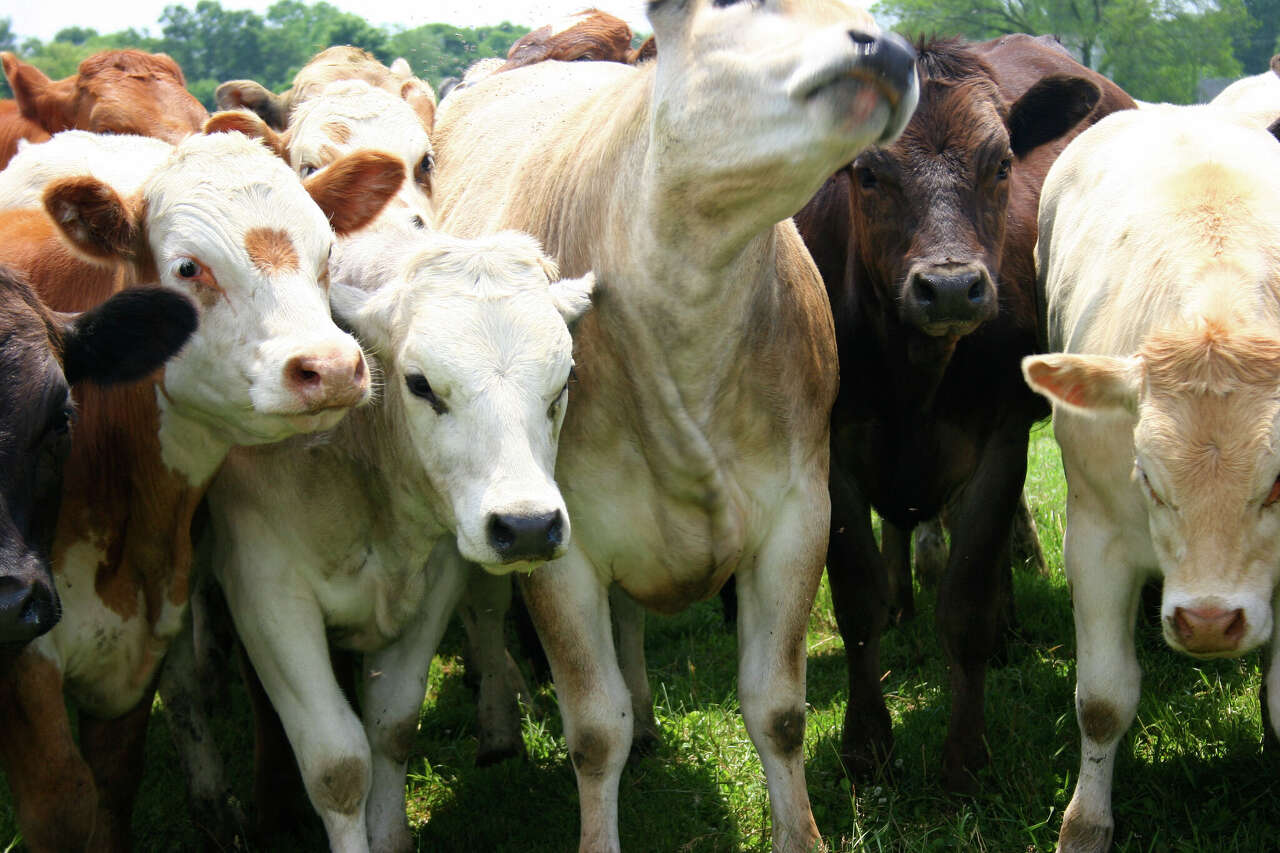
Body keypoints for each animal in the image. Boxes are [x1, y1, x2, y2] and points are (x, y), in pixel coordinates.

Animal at [207, 222, 593, 851]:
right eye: (420, 384)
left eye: (566, 381)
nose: (528, 526)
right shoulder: (267, 595)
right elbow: (338, 765)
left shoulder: (436, 580)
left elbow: (391, 728)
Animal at [431, 0, 918, 849]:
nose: (884, 46)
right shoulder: (552, 539)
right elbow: (594, 730)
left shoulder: (800, 510)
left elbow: (779, 710)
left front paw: (801, 833)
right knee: (488, 614)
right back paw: (498, 725)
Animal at [789, 34, 1134, 791]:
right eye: (867, 173)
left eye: (1001, 164)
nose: (949, 288)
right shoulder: (832, 446)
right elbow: (857, 600)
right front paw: (867, 746)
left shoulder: (1000, 438)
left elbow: (968, 599)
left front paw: (966, 756)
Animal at [1022, 106, 1280, 852]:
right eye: (1147, 476)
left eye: (1278, 483)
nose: (1207, 621)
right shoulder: (1096, 539)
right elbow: (1104, 700)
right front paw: (1086, 823)